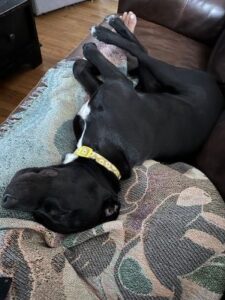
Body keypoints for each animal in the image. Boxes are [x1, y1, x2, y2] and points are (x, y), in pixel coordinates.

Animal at [2, 15, 224, 233]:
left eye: (52, 212)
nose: (6, 199)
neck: (101, 152)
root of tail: (219, 86)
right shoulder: (108, 88)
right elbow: (82, 67)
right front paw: (97, 61)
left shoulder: (115, 82)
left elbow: (83, 63)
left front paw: (93, 50)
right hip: (155, 83)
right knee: (142, 55)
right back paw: (118, 29)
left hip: (175, 77)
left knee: (141, 53)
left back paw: (104, 32)